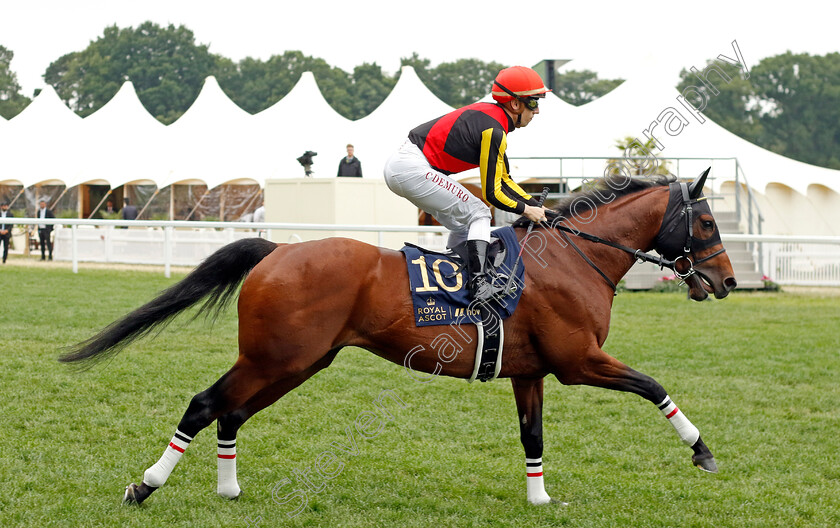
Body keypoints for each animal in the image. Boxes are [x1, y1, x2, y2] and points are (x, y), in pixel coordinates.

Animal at [60, 169, 736, 508]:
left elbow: (533, 436)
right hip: (279, 356)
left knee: (230, 411)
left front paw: (540, 499)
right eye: (706, 221)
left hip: (295, 361)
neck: (574, 258)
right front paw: (701, 450)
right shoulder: (580, 360)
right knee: (206, 405)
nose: (727, 281)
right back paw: (145, 486)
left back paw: (228, 489)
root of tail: (278, 249)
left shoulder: (531, 371)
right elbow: (654, 385)